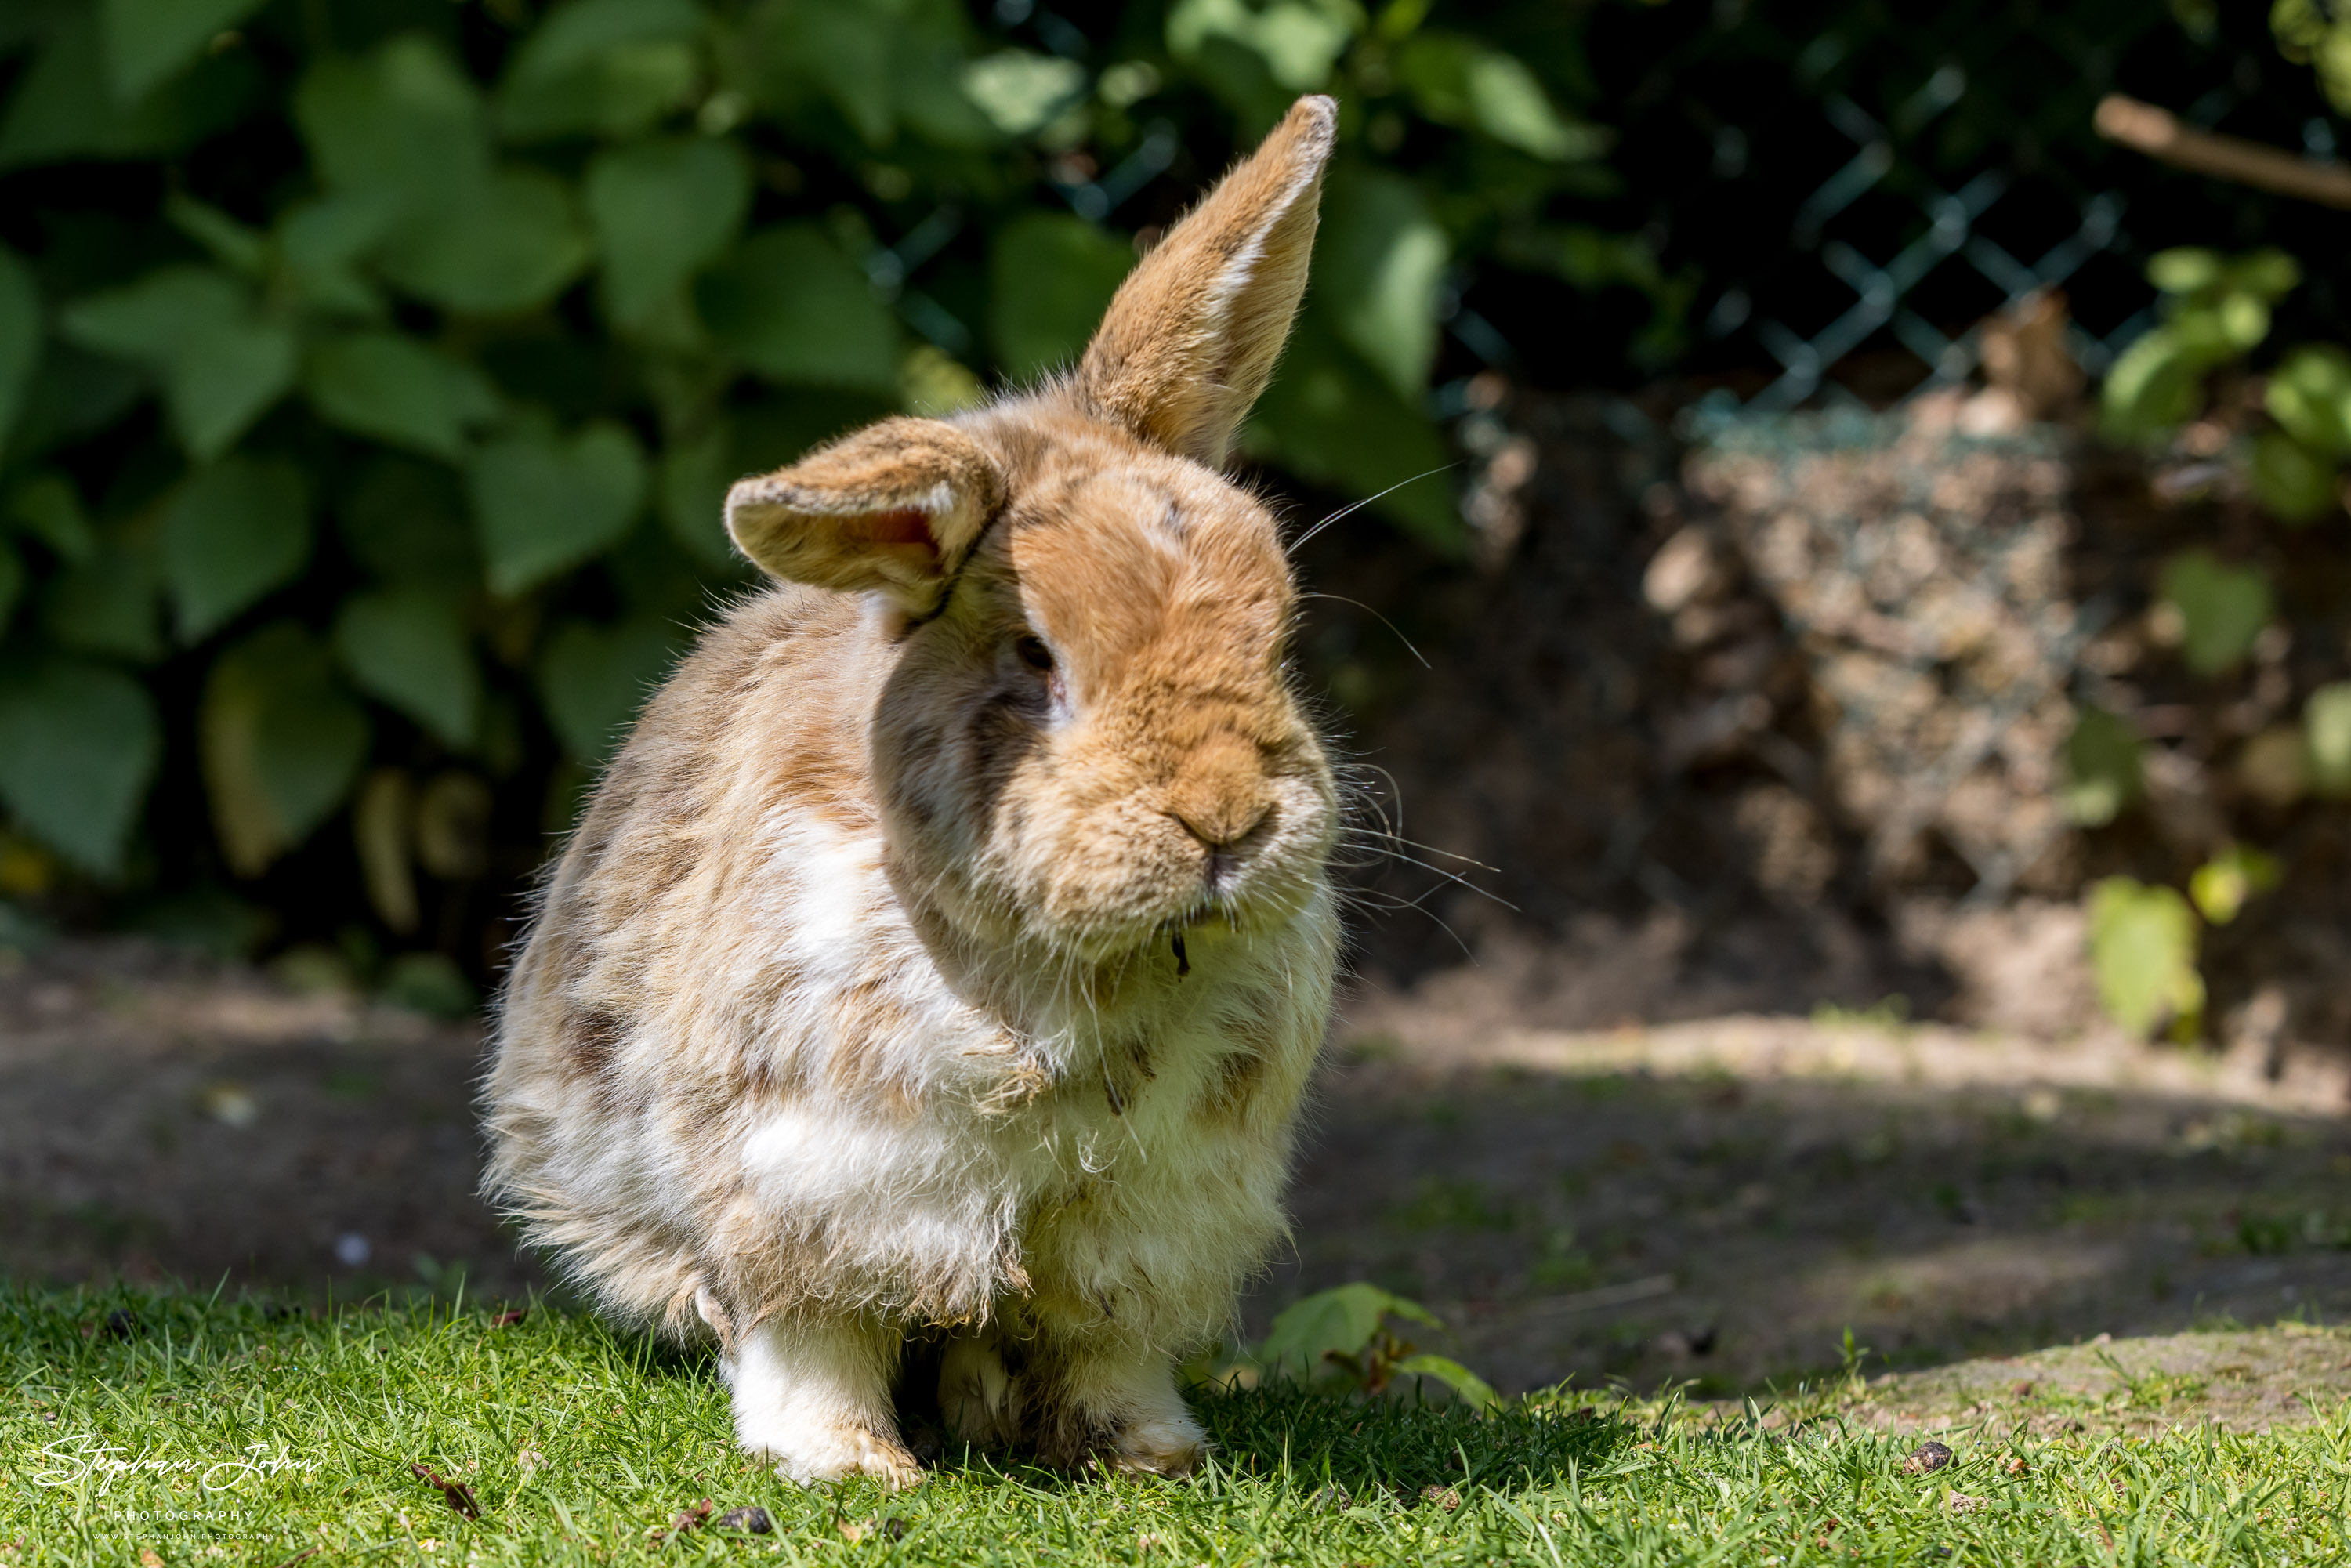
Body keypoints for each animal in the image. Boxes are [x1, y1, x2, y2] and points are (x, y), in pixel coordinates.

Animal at [482, 95, 1345, 1486]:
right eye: (1038, 656)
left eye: (1279, 629)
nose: (1226, 817)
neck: (1082, 965)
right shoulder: (811, 1174)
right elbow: (813, 1332)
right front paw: (847, 1465)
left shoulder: (1150, 1210)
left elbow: (1105, 1344)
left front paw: (1151, 1453)